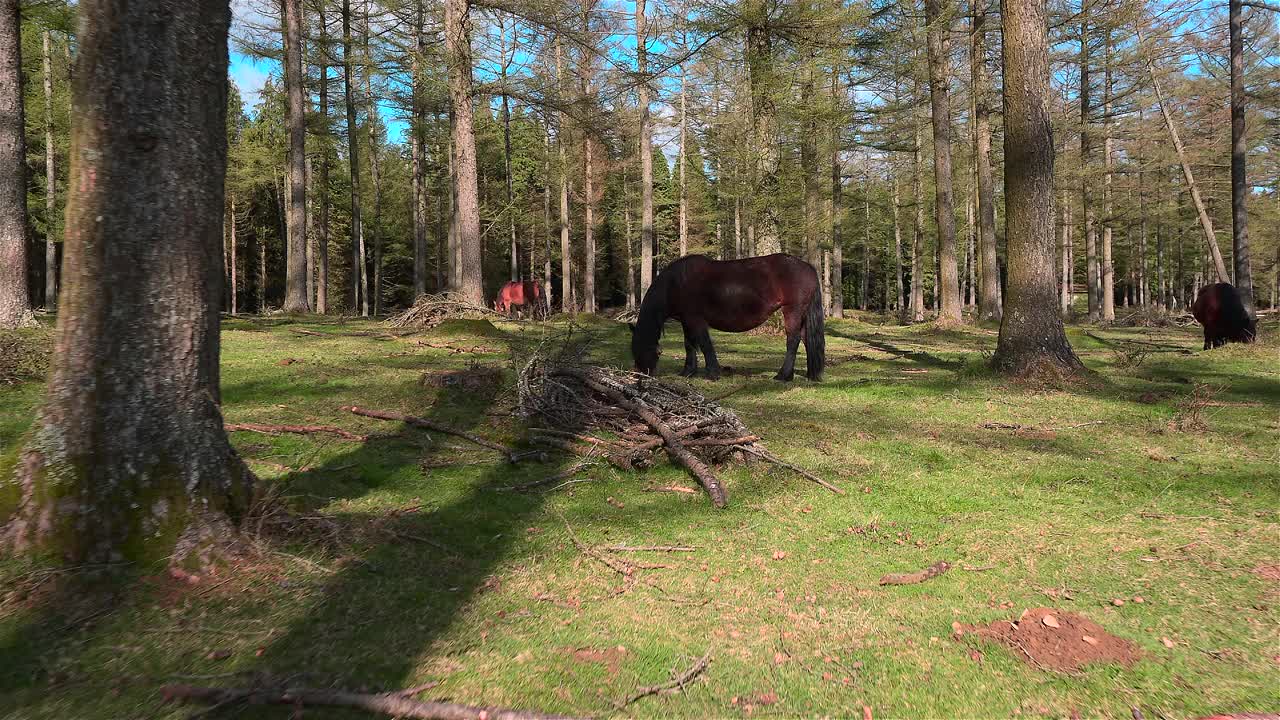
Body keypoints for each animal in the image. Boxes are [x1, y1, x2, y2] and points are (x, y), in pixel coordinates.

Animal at [627, 254, 824, 384]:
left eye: (645, 349)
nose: (641, 375)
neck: (676, 283)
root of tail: (808, 267)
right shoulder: (686, 320)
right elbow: (689, 345)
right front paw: (688, 372)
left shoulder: (696, 320)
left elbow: (705, 344)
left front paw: (713, 373)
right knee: (806, 339)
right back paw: (810, 375)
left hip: (792, 311)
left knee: (793, 340)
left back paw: (783, 376)